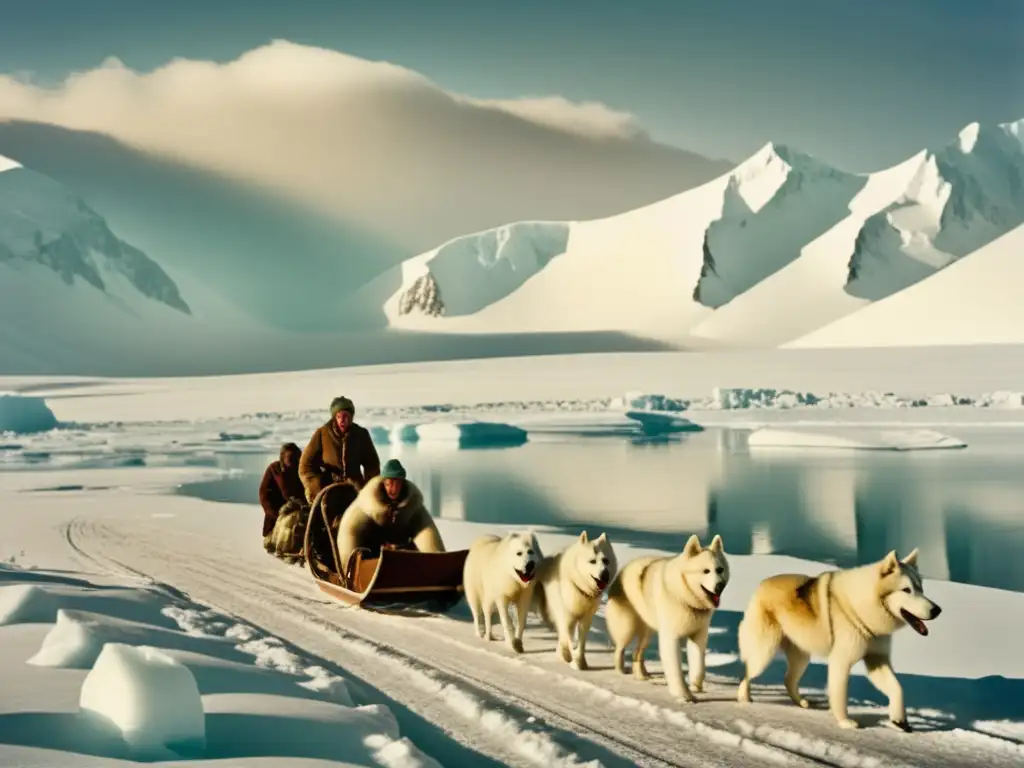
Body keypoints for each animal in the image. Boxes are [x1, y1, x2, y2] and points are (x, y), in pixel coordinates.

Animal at [536, 532, 614, 671]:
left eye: (606, 560)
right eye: (592, 561)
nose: (605, 574)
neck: (581, 589)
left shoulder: (586, 618)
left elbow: (581, 642)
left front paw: (580, 662)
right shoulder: (568, 615)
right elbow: (570, 639)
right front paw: (573, 660)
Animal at [606, 536, 729, 704]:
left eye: (719, 569)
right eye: (706, 571)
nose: (719, 586)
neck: (684, 596)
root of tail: (623, 569)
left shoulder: (698, 635)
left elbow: (699, 665)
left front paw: (696, 686)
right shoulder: (671, 636)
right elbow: (675, 669)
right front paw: (684, 695)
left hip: (648, 632)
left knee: (637, 653)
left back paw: (642, 675)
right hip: (627, 627)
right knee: (620, 648)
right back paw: (621, 670)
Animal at [737, 548, 942, 733]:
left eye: (920, 589)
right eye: (906, 590)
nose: (937, 610)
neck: (863, 608)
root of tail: (761, 585)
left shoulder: (876, 660)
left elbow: (897, 689)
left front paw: (899, 720)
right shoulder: (841, 661)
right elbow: (840, 695)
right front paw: (845, 723)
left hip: (801, 657)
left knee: (788, 679)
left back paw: (801, 703)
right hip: (764, 653)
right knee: (746, 675)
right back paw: (745, 700)